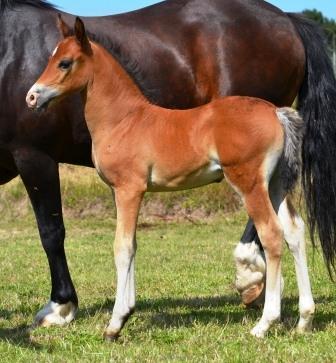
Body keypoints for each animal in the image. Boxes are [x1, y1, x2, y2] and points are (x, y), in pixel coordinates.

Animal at [26, 16, 316, 342]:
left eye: (64, 62)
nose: (32, 96)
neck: (124, 120)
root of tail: (277, 112)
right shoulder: (125, 193)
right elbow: (133, 244)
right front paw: (126, 313)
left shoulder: (129, 189)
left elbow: (122, 247)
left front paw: (115, 324)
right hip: (276, 184)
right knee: (294, 231)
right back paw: (305, 319)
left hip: (250, 183)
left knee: (271, 234)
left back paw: (264, 323)